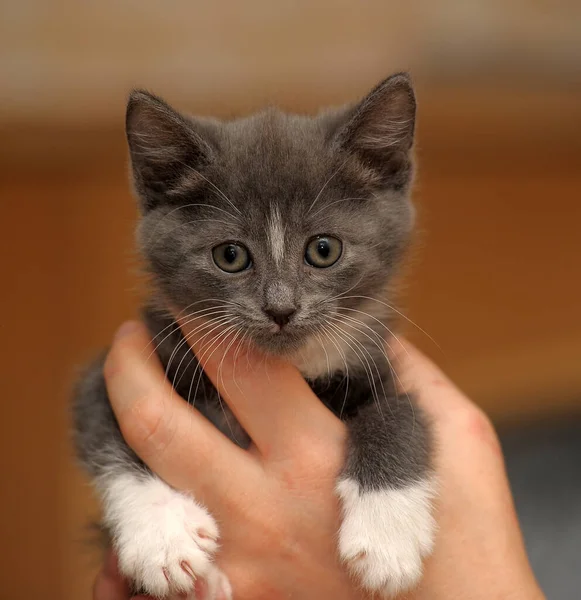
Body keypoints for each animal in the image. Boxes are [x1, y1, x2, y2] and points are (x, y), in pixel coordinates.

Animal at [72, 74, 432, 600]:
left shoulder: (376, 361)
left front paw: (387, 539)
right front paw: (161, 535)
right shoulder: (122, 361)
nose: (281, 309)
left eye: (324, 249)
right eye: (230, 256)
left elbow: (402, 413)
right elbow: (108, 431)